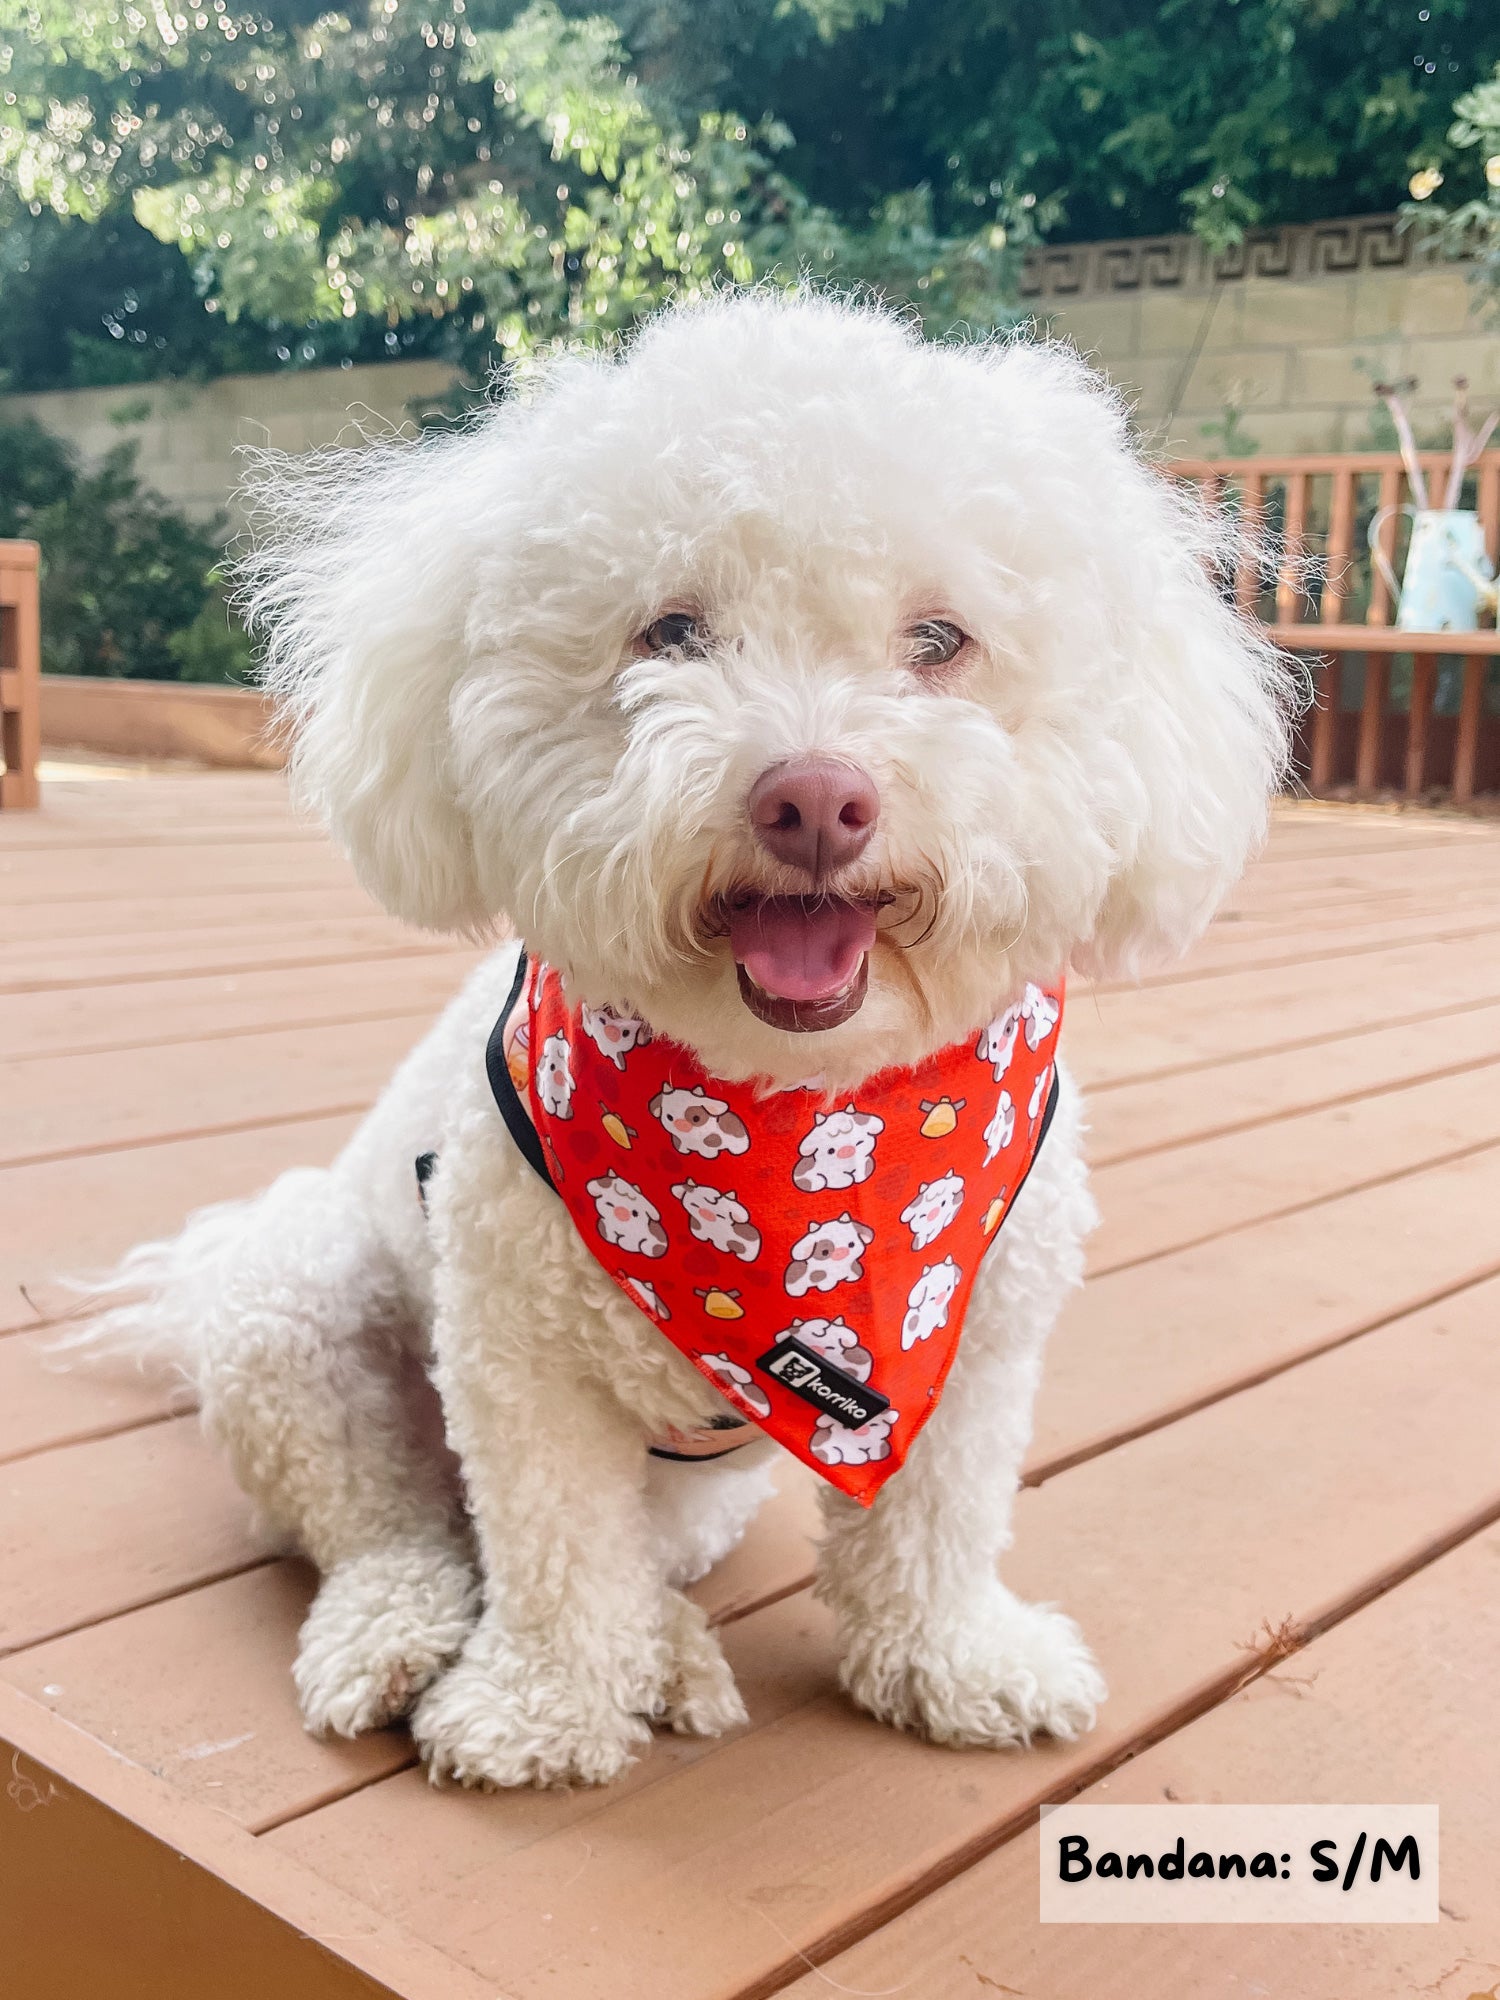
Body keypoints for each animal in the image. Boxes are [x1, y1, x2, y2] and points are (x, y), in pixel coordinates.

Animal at [76, 292, 1296, 1800]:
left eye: (940, 639)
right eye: (669, 631)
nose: (815, 798)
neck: (791, 1120)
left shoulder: (972, 1359)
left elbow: (935, 1528)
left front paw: (954, 1664)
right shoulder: (516, 1366)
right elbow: (551, 1555)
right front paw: (536, 1711)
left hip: (693, 1480)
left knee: (627, 1552)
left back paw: (664, 1649)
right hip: (291, 1319)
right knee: (396, 1527)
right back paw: (398, 1637)